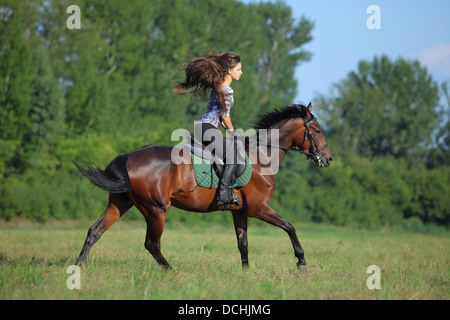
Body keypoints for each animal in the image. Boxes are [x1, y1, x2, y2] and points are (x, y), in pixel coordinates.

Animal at [74, 104, 332, 268]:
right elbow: (290, 227)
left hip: (120, 203)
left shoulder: (240, 212)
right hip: (156, 209)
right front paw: (301, 261)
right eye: (318, 130)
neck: (262, 157)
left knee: (94, 231)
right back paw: (172, 271)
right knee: (152, 244)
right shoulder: (259, 208)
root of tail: (127, 157)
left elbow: (243, 244)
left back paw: (78, 266)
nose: (328, 159)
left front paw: (246, 273)